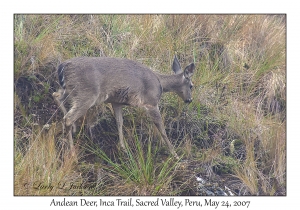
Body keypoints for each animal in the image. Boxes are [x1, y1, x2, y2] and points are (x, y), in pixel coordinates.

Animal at [52, 55, 196, 158]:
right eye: (191, 86)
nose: (189, 100)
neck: (160, 83)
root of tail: (62, 66)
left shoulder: (116, 101)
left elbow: (119, 122)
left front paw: (123, 147)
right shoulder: (151, 103)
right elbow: (162, 129)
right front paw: (175, 154)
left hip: (70, 90)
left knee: (56, 95)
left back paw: (73, 129)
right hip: (86, 94)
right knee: (68, 118)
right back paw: (72, 152)